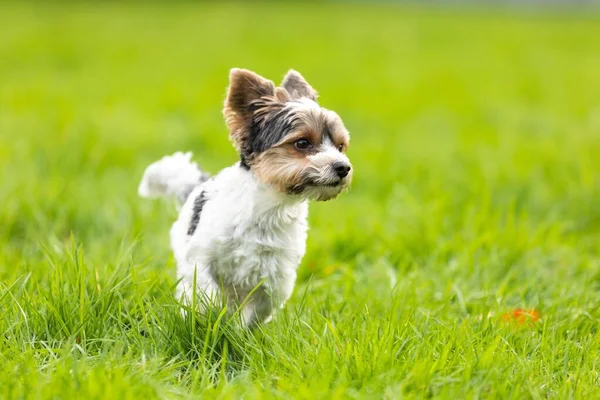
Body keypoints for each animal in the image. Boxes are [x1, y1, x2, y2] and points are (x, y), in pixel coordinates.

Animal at [138, 67, 352, 326]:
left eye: (340, 147)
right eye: (302, 143)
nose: (343, 167)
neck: (271, 206)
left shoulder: (275, 278)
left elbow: (258, 310)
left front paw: (238, 330)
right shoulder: (201, 256)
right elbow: (206, 290)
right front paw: (208, 315)